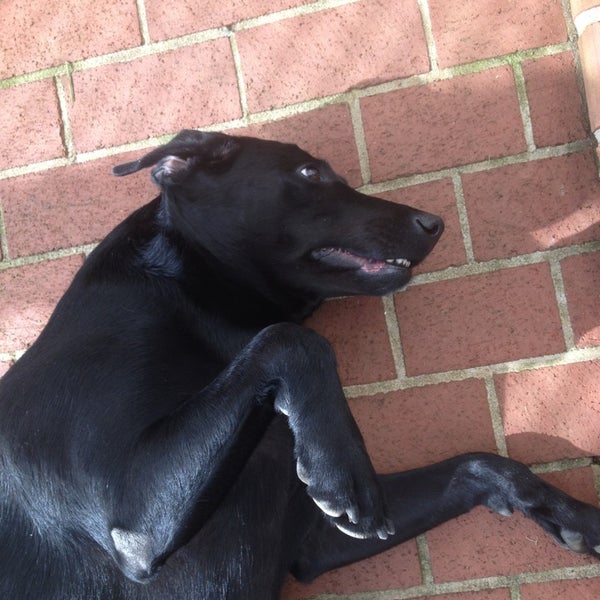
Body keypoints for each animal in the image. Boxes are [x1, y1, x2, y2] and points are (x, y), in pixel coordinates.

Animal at [1, 130, 599, 599]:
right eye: (311, 172)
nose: (434, 223)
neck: (198, 305)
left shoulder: (315, 537)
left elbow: (481, 465)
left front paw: (573, 516)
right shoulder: (133, 527)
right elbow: (293, 339)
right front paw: (342, 466)